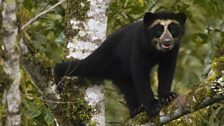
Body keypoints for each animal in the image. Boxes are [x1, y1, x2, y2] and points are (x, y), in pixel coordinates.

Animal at [54, 11, 187, 117]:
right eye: (159, 30)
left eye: (172, 30)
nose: (167, 42)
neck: (156, 50)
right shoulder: (139, 46)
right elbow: (140, 73)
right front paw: (152, 106)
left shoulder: (173, 51)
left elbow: (167, 69)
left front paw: (168, 96)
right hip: (105, 58)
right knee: (85, 66)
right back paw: (58, 74)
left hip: (118, 72)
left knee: (128, 88)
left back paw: (136, 110)